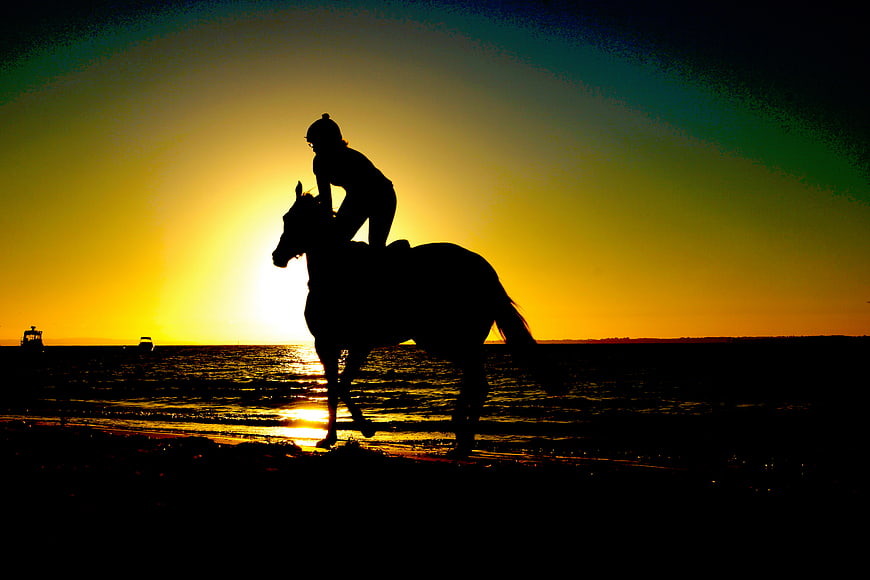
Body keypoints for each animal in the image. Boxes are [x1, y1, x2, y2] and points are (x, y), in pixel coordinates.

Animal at [272, 181, 562, 456]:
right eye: (286, 218)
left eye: (295, 220)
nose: (277, 256)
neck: (335, 271)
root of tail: (487, 272)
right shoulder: (333, 344)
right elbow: (335, 387)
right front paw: (331, 437)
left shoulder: (348, 343)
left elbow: (340, 386)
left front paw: (363, 429)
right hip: (453, 341)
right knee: (476, 381)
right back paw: (462, 439)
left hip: (448, 339)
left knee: (477, 382)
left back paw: (462, 437)